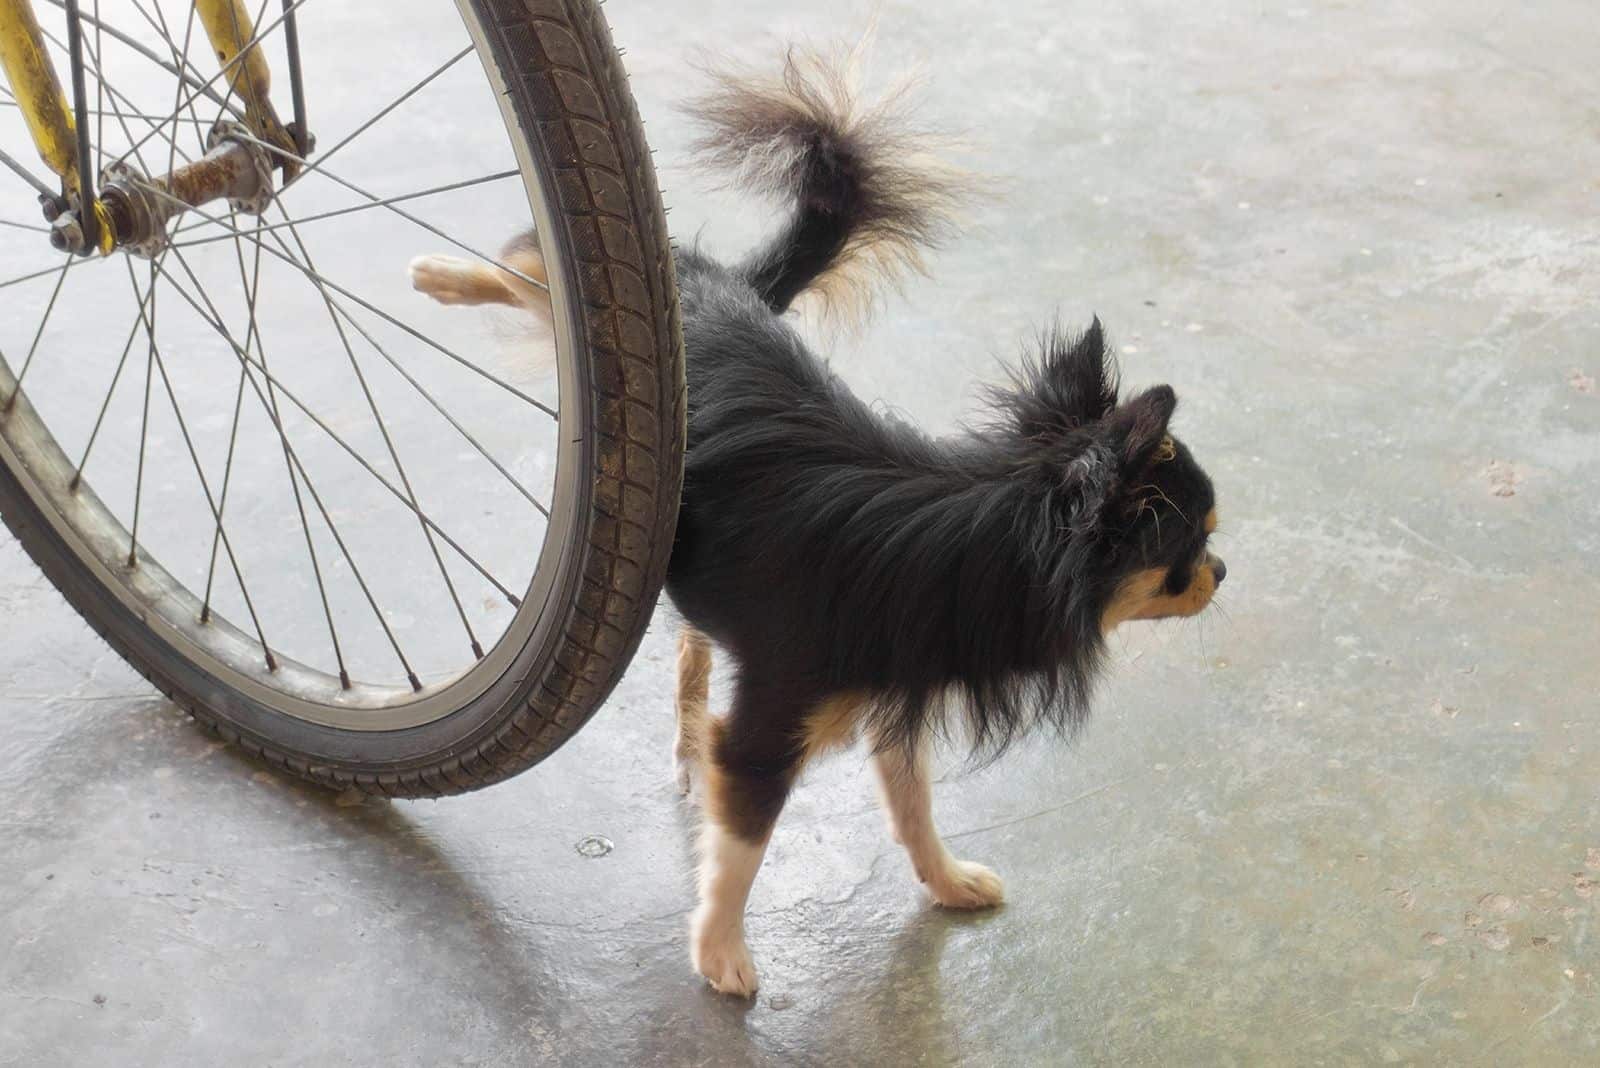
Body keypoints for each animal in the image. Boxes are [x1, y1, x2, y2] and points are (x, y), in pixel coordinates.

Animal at [409, 39, 1222, 991]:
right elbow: (746, 845)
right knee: (525, 272)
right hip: (590, 322)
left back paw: (685, 741)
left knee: (691, 649)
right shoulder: (771, 729)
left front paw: (945, 880)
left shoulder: (894, 698)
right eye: (1194, 545)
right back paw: (442, 277)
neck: (985, 530)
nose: (1223, 573)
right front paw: (721, 951)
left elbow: (912, 806)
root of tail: (726, 288)